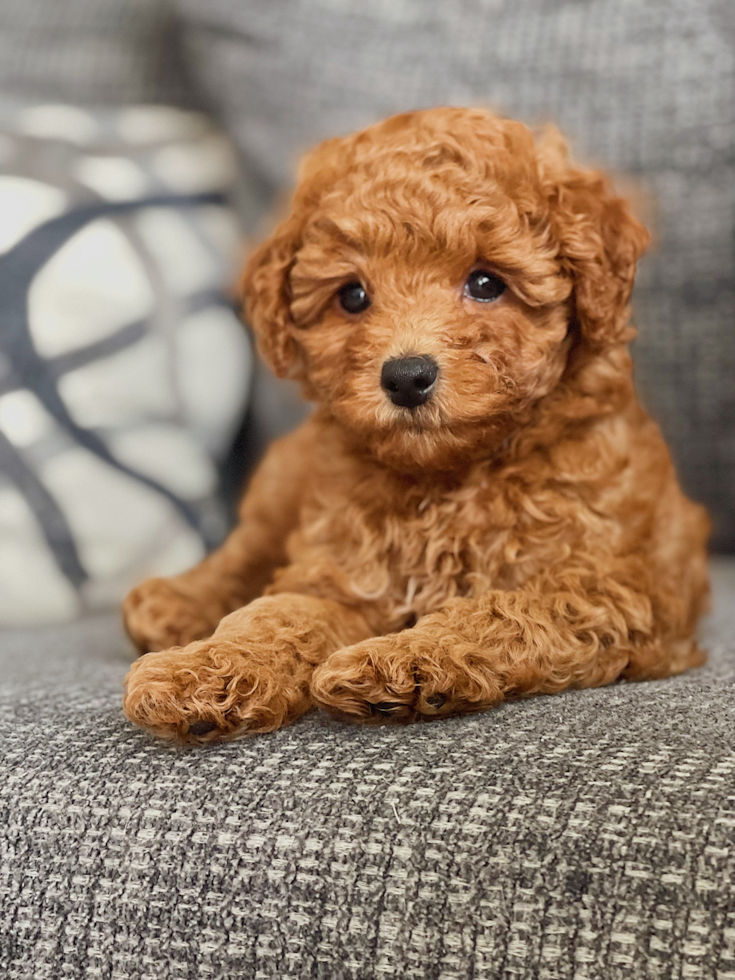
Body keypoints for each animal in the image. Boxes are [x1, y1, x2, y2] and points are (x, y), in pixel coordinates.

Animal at [123, 107, 712, 744]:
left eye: (486, 283)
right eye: (352, 296)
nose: (406, 376)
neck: (447, 478)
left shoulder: (614, 588)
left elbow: (509, 607)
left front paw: (404, 660)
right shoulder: (339, 569)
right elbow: (279, 611)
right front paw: (202, 669)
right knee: (246, 552)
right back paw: (174, 602)